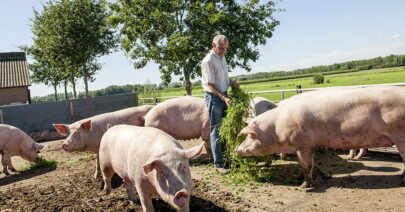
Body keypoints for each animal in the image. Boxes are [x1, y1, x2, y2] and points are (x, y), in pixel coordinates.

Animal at [235, 86, 404, 187]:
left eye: (251, 136)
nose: (237, 148)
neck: (276, 128)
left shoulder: (304, 144)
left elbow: (307, 165)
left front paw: (304, 186)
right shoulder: (303, 146)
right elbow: (302, 165)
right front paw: (298, 177)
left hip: (399, 133)